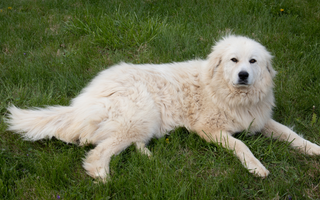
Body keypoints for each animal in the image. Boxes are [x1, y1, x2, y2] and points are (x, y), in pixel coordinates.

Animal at [6, 35, 320, 180]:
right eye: (234, 60)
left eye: (253, 61)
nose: (243, 75)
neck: (228, 93)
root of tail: (81, 101)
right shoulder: (208, 129)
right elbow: (241, 145)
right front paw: (256, 167)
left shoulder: (260, 120)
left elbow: (293, 135)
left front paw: (314, 149)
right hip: (140, 113)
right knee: (98, 153)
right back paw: (106, 179)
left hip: (144, 122)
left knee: (127, 142)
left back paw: (148, 157)